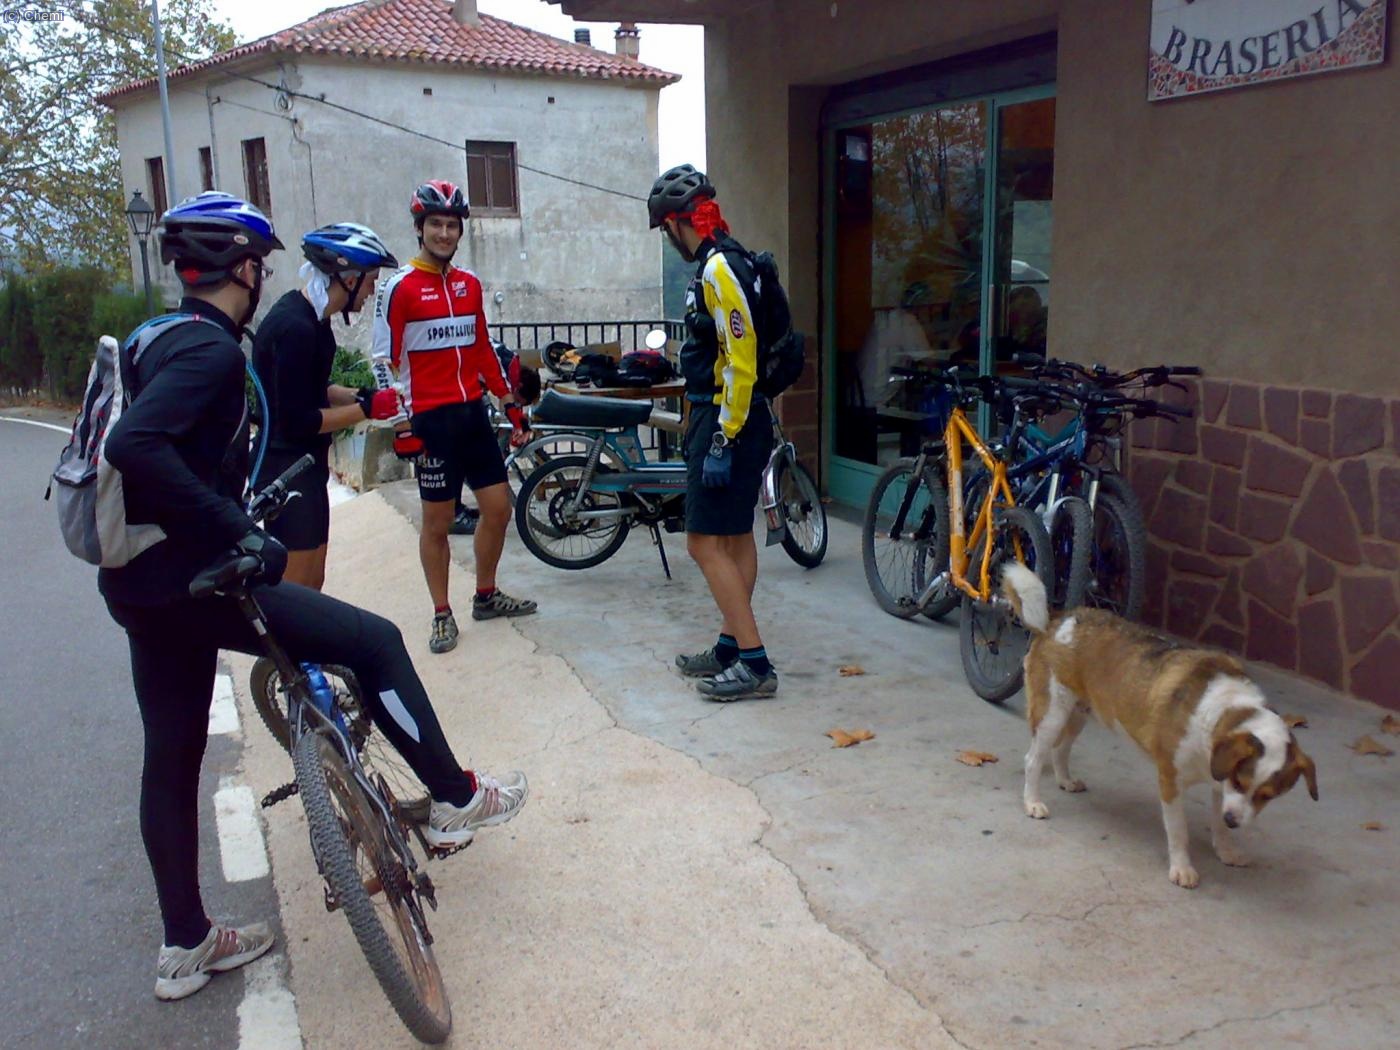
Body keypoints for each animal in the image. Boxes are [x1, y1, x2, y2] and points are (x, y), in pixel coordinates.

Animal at [1002, 562, 1316, 890]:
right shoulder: (1171, 782)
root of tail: (1056, 620)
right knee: (1034, 759)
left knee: (1061, 749)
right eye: (1241, 783)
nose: (1234, 821)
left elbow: (1217, 824)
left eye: (1267, 796)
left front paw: (1226, 849)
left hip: (1078, 713)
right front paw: (1182, 868)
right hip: (1052, 714)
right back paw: (1032, 802)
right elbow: (1179, 831)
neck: (1218, 714)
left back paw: (1065, 779)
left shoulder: (1219, 781)